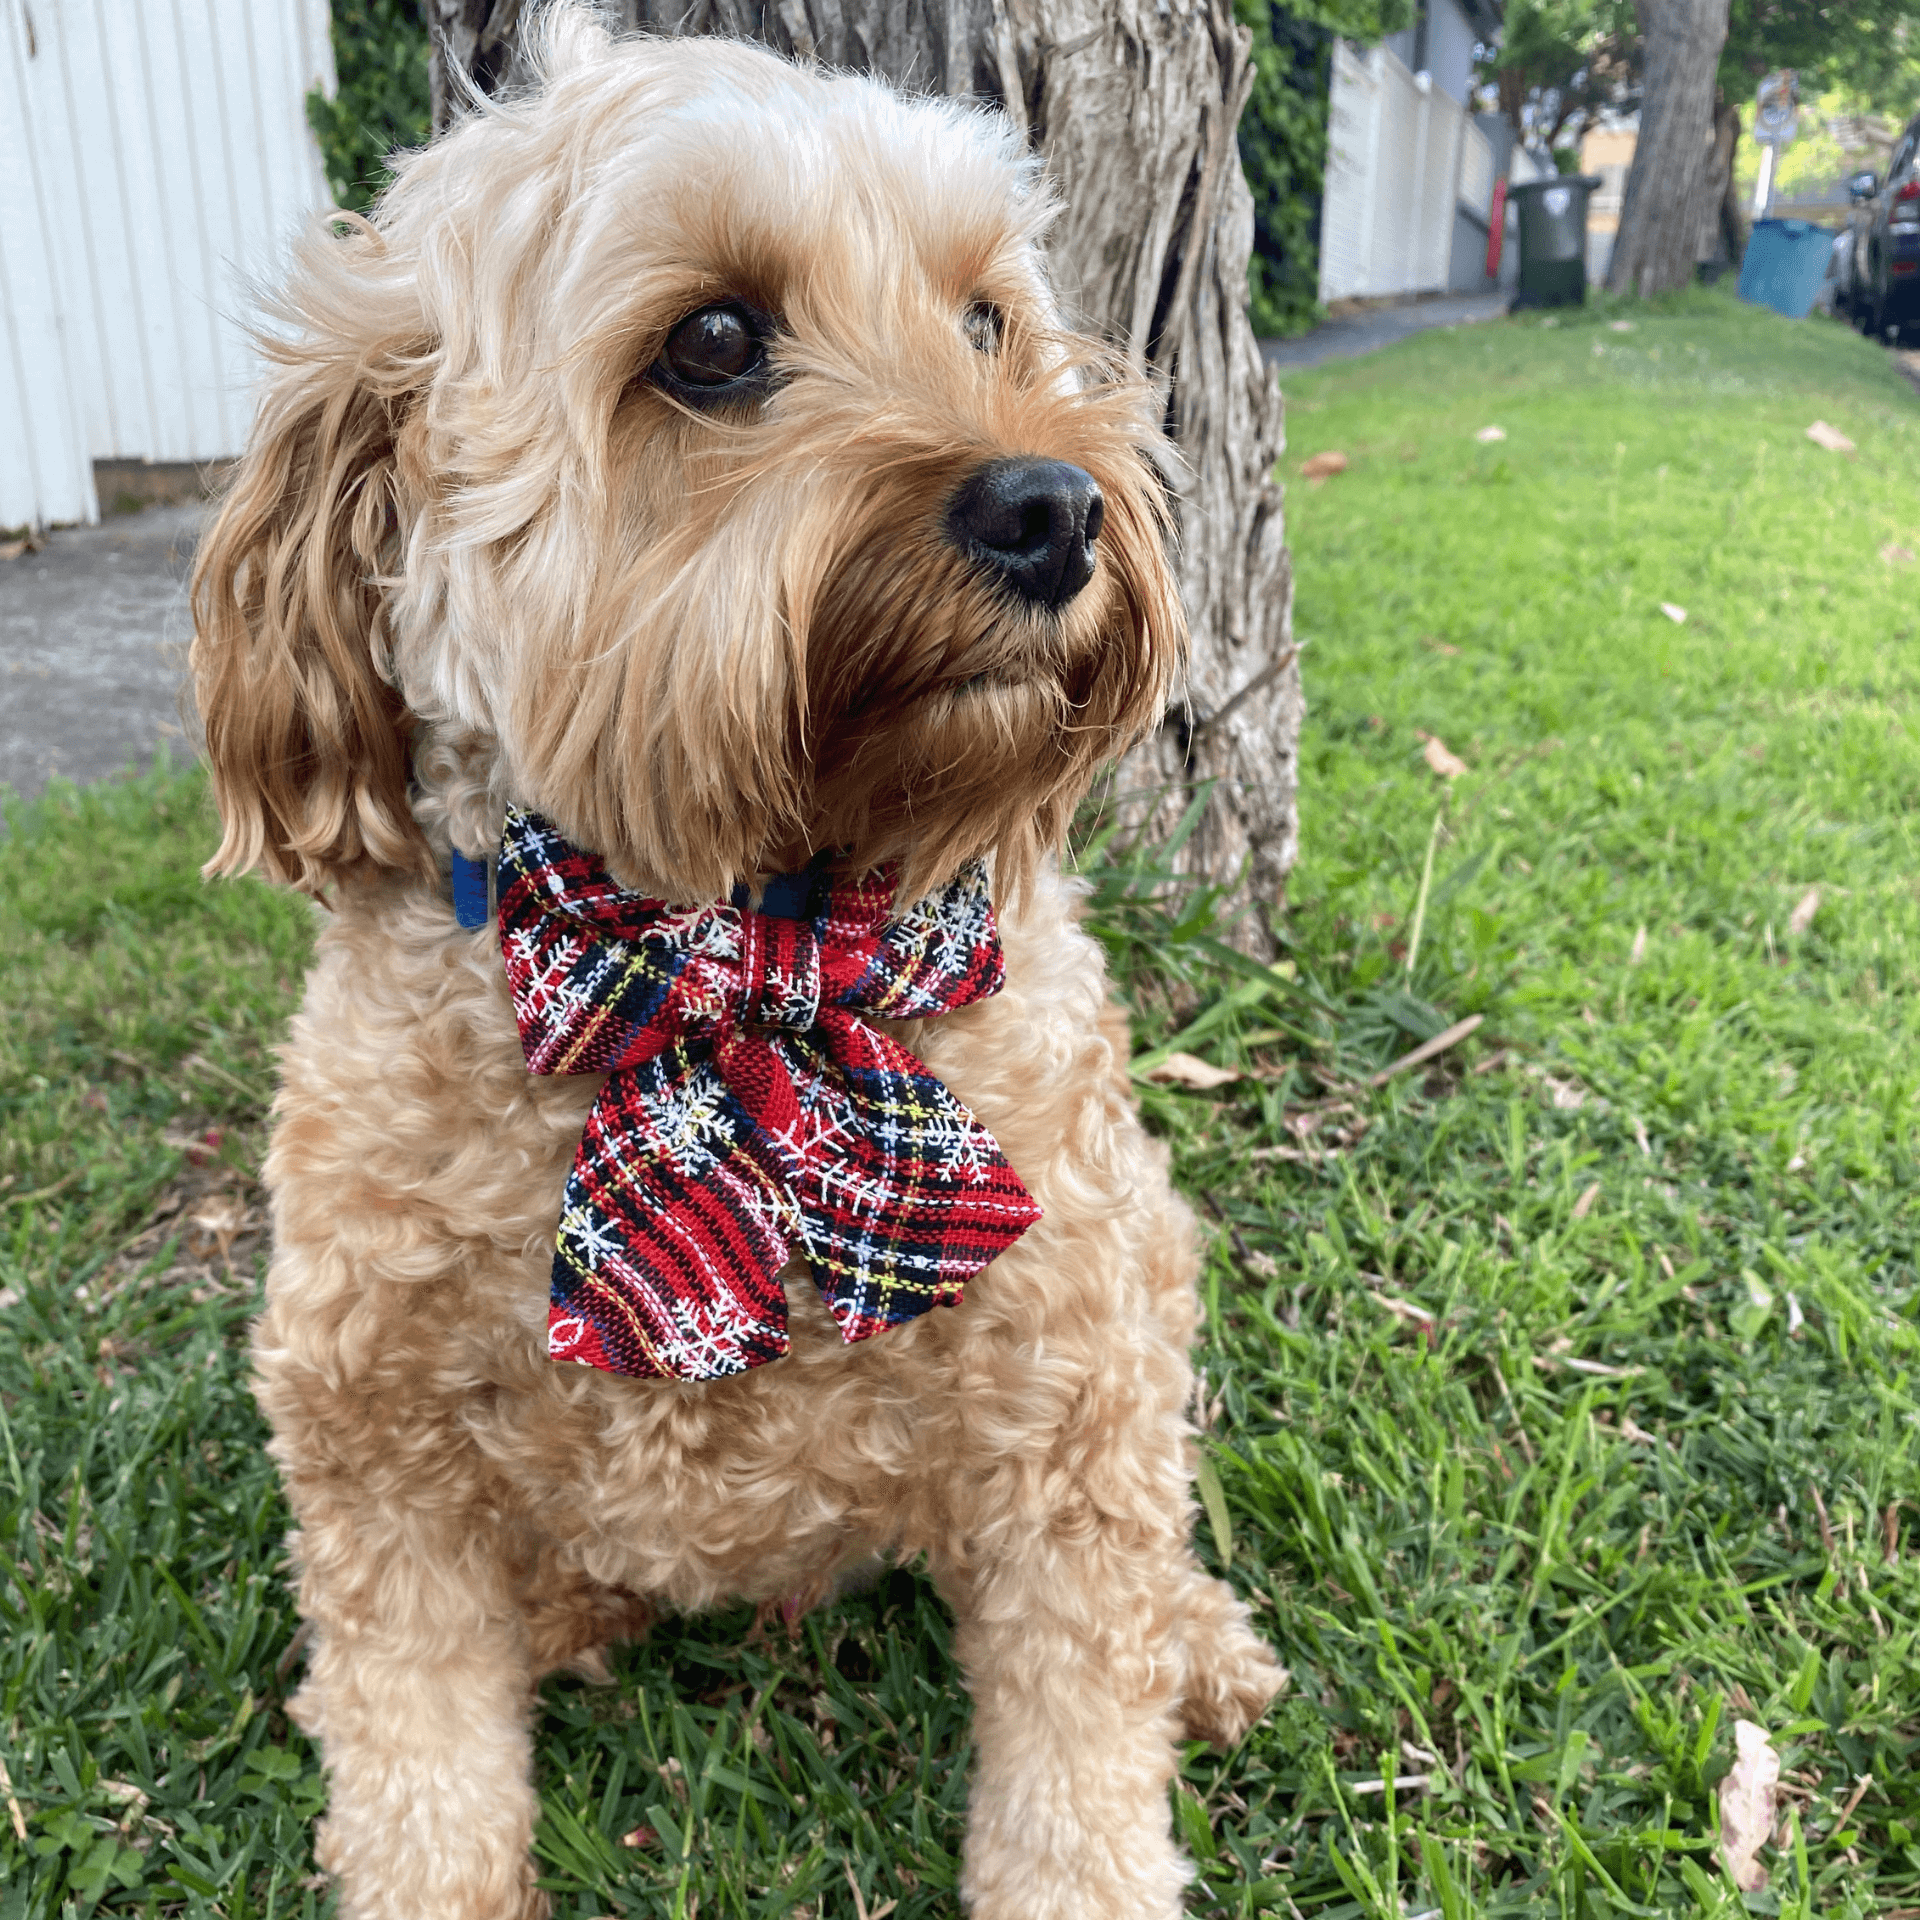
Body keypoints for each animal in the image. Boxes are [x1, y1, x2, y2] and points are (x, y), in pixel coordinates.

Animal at [187, 11, 1282, 1904]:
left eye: (986, 319)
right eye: (711, 341)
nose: (1059, 505)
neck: (738, 948)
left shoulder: (1071, 1390)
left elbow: (1082, 1758)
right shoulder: (367, 1443)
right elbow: (415, 1760)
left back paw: (1202, 1644)